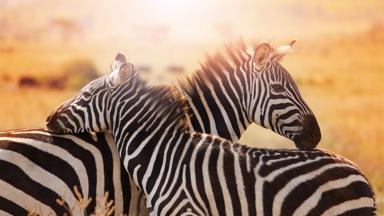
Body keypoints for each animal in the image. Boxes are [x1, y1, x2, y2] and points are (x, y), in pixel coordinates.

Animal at [47, 53, 376, 214]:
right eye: (279, 88)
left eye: (86, 95)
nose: (49, 119)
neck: (163, 155)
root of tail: (361, 174)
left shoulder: (186, 211)